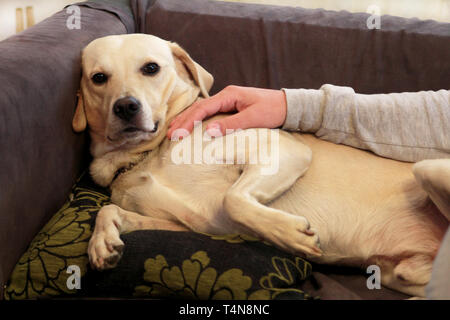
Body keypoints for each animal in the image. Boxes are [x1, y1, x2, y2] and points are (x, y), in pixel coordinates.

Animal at [74, 33, 450, 296]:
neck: (144, 155)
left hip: (427, 169)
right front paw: (102, 243)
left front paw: (291, 234)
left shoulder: (280, 149)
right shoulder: (188, 226)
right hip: (399, 274)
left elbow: (234, 199)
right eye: (98, 77)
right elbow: (109, 210)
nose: (126, 107)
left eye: (151, 68)